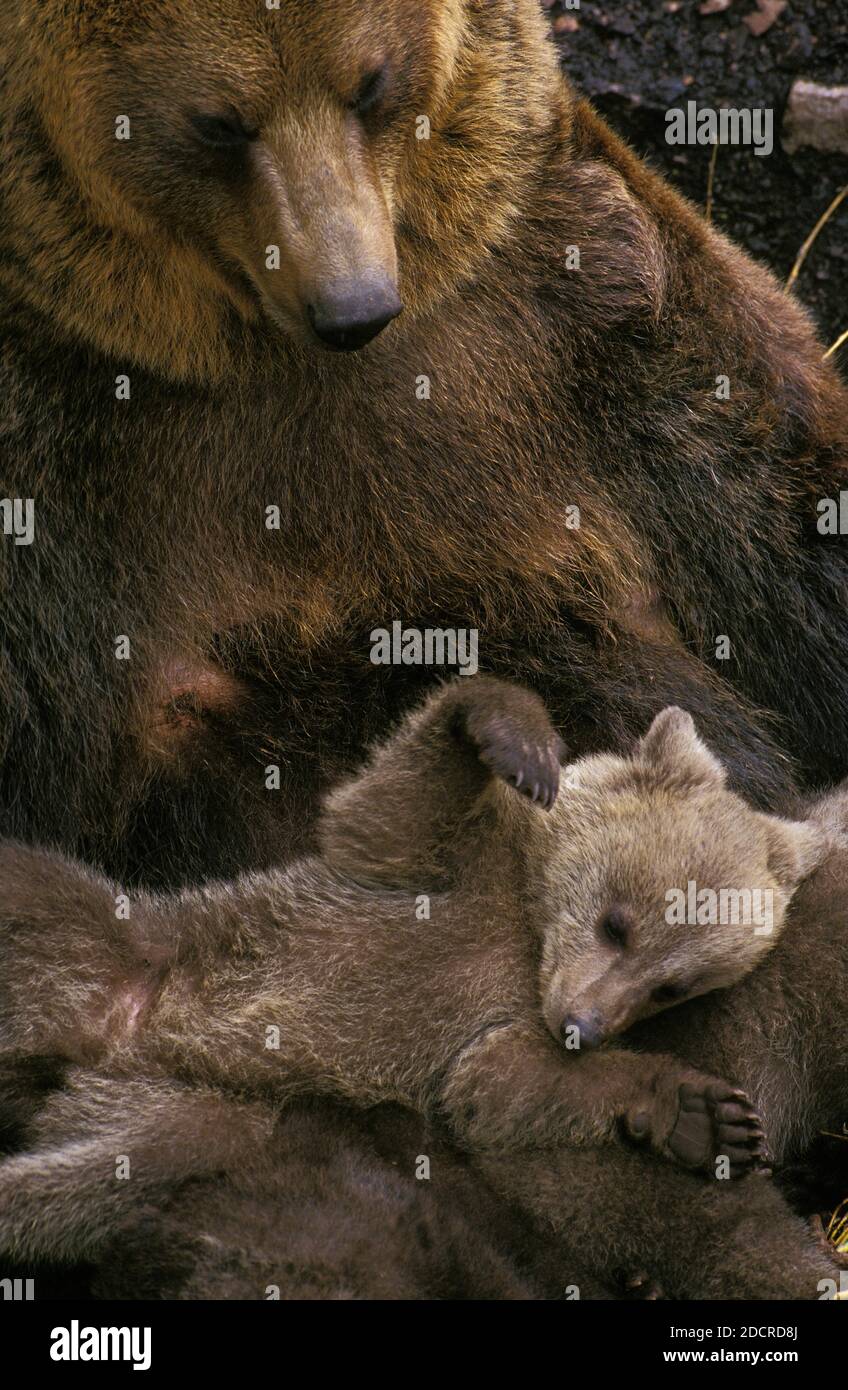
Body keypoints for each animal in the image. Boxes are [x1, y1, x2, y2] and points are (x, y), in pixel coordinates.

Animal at [0, 676, 843, 1290]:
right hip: (108, 925)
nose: (584, 1026)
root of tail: (111, 1034)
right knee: (32, 883)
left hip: (200, 1116)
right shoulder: (440, 870)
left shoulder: (491, 1029)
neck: (524, 926)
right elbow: (388, 802)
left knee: (101, 1179)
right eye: (618, 923)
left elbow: (502, 1088)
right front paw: (510, 734)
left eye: (674, 987)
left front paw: (702, 1117)